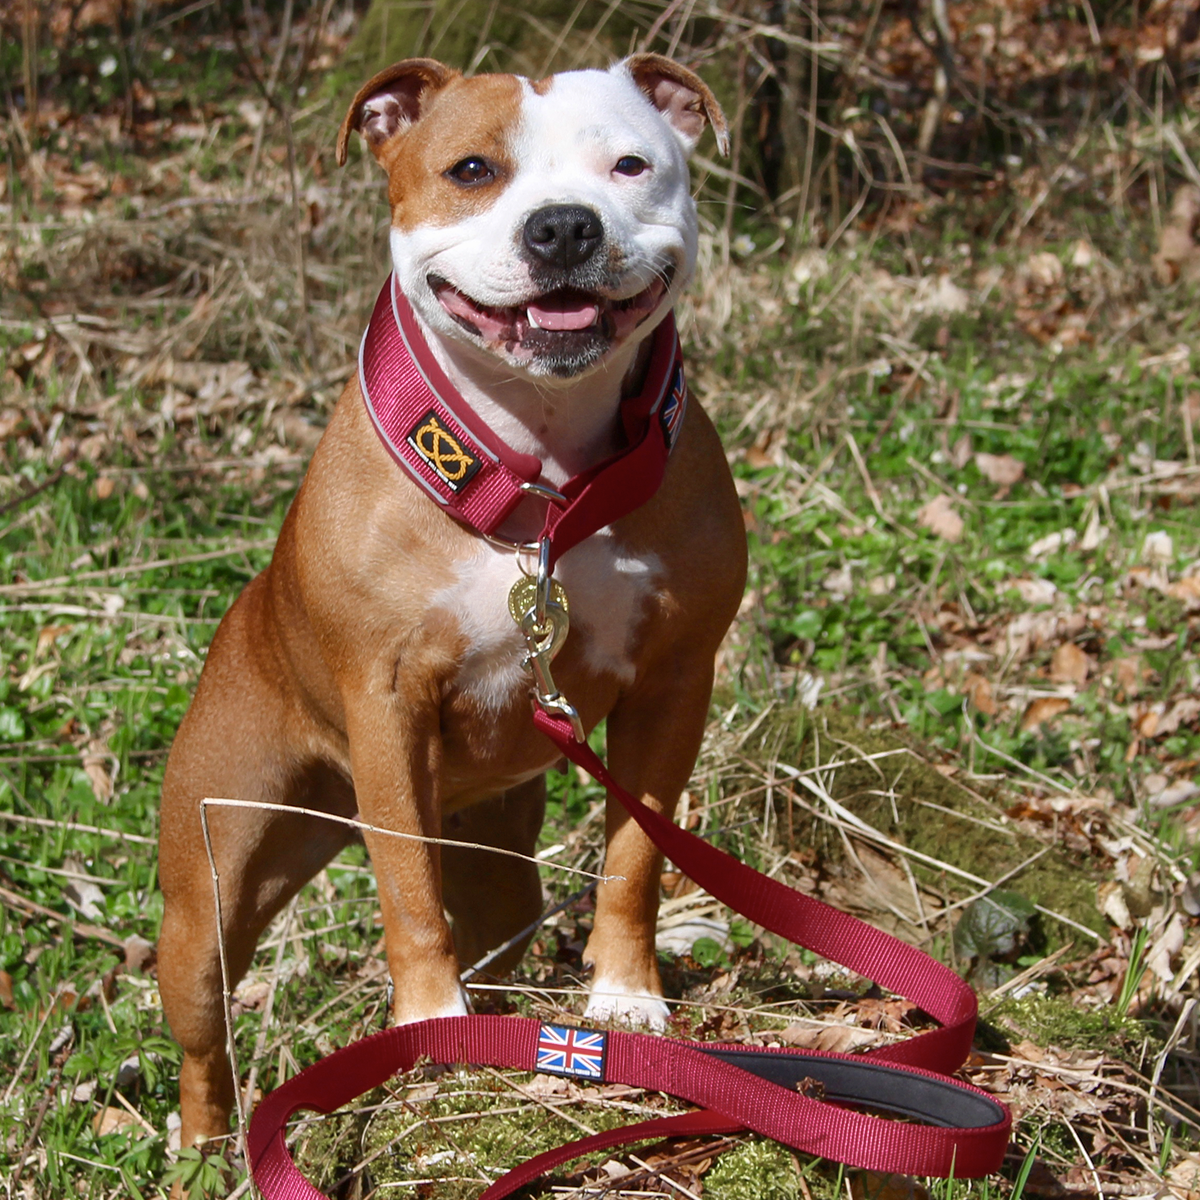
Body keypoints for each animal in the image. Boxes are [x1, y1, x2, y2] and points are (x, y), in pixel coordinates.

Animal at [154, 54, 744, 1152]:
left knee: (499, 926)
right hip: (210, 890)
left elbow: (636, 858)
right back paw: (205, 1150)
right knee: (204, 1037)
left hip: (496, 862)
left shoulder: (674, 686)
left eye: (630, 165)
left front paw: (625, 998)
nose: (563, 227)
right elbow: (407, 891)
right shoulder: (387, 709)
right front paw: (428, 1024)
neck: (542, 483)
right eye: (471, 169)